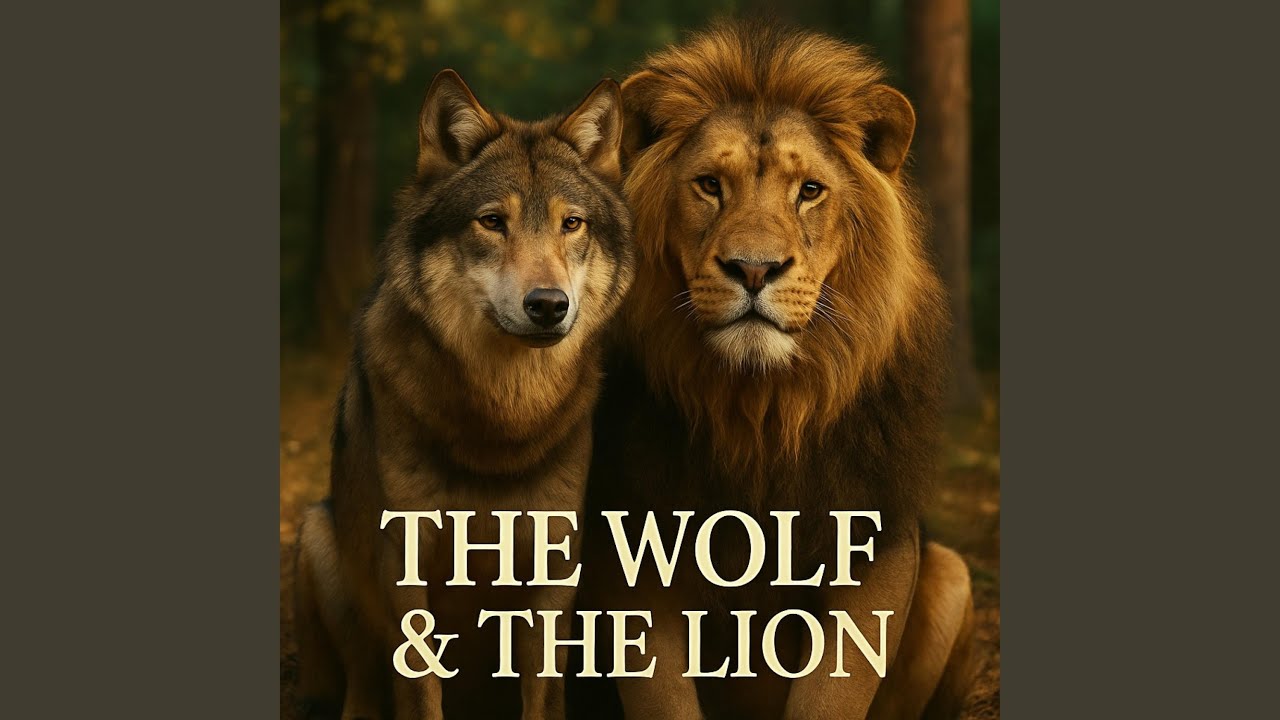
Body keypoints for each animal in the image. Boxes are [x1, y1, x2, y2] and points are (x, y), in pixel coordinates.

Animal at [292, 69, 634, 720]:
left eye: (571, 224)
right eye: (492, 221)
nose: (548, 306)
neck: (503, 415)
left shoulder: (552, 570)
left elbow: (541, 694)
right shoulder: (407, 567)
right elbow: (421, 691)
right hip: (321, 541)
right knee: (362, 684)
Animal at [572, 21, 978, 720]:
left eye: (809, 190)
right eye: (710, 185)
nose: (754, 269)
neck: (758, 406)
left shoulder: (877, 536)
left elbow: (833, 692)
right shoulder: (627, 533)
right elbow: (662, 694)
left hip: (952, 571)